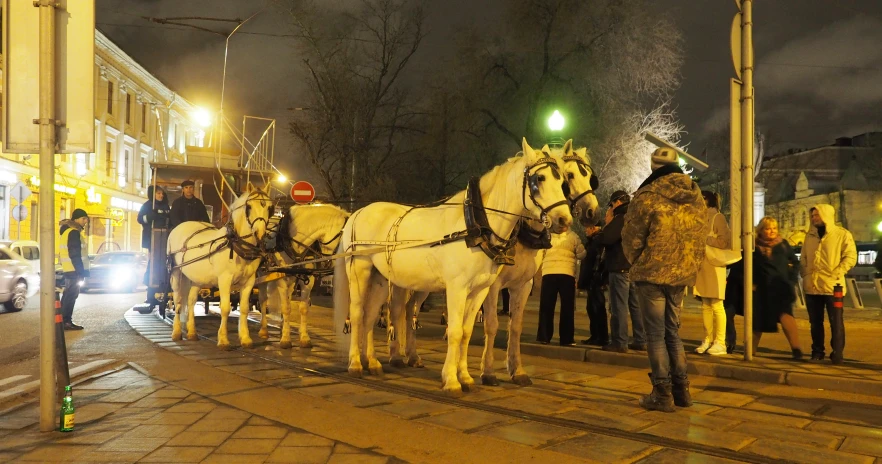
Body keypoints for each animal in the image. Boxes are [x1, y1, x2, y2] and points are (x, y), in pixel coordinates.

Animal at [168, 188, 270, 348]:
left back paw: (192, 333)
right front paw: (223, 340)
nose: (259, 233)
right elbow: (225, 308)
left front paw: (245, 338)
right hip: (176, 272)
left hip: (196, 278)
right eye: (249, 207)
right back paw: (177, 332)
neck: (236, 244)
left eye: (269, 208)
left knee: (190, 301)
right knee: (178, 300)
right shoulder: (224, 280)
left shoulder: (249, 281)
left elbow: (245, 308)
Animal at [256, 203, 348, 348]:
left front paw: (304, 338)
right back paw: (264, 330)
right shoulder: (281, 279)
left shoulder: (308, 279)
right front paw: (285, 339)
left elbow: (303, 308)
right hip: (263, 274)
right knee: (263, 300)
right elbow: (286, 308)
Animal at [336, 139, 572, 396]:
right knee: (357, 314)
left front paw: (466, 377)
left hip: (380, 278)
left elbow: (466, 332)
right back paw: (355, 364)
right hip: (360, 272)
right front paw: (451, 379)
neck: (475, 226)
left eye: (562, 181)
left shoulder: (480, 290)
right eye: (539, 178)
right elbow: (455, 331)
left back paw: (372, 362)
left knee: (370, 315)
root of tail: (358, 212)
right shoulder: (457, 288)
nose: (564, 220)